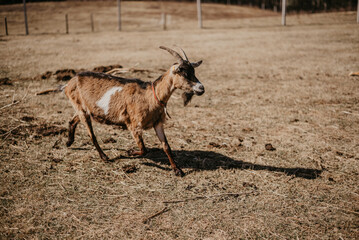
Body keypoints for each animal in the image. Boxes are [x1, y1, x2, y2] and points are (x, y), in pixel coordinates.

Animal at [64, 46, 205, 176]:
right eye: (183, 72)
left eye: (193, 71)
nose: (201, 88)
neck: (150, 96)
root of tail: (71, 81)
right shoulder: (133, 124)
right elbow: (144, 149)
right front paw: (130, 152)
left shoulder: (158, 123)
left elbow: (166, 146)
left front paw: (177, 170)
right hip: (81, 109)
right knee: (91, 135)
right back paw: (104, 157)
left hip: (84, 109)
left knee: (72, 120)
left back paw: (69, 142)